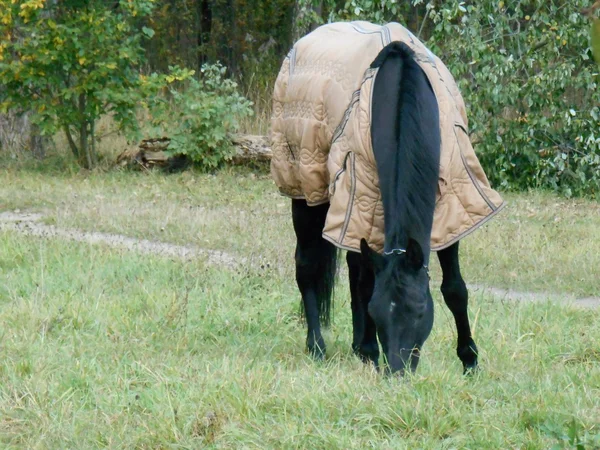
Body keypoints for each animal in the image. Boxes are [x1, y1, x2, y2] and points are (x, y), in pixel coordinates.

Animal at [288, 42, 476, 374]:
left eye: (419, 312)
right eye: (378, 315)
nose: (397, 372)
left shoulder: (450, 210)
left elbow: (454, 288)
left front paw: (469, 360)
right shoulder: (361, 202)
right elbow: (365, 286)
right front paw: (369, 350)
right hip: (306, 195)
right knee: (307, 266)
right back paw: (318, 346)